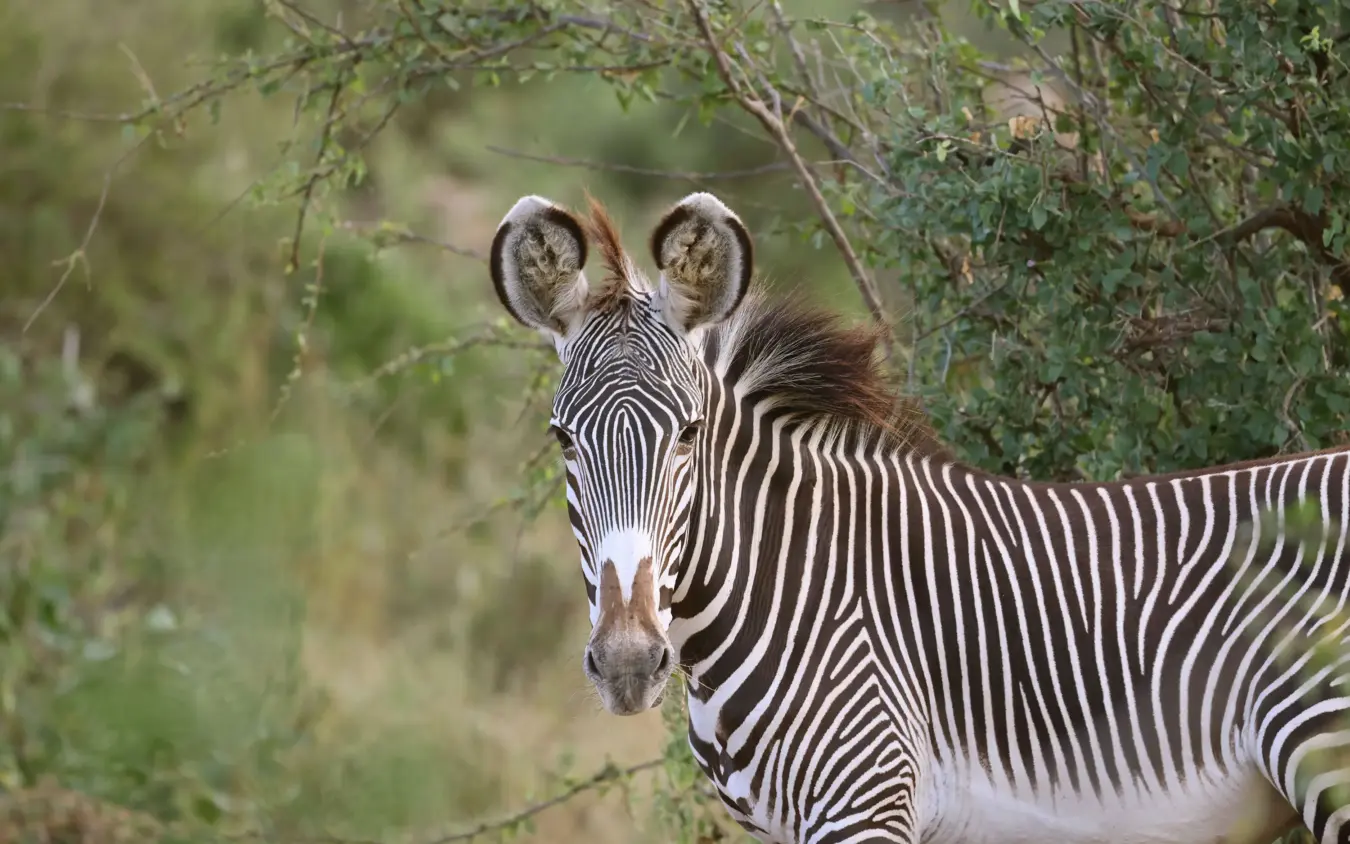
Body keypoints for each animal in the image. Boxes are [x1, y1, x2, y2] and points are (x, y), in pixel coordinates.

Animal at [486, 190, 1350, 844]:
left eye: (689, 434)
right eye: (562, 438)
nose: (629, 663)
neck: (793, 585)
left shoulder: (867, 801)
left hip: (1326, 743)